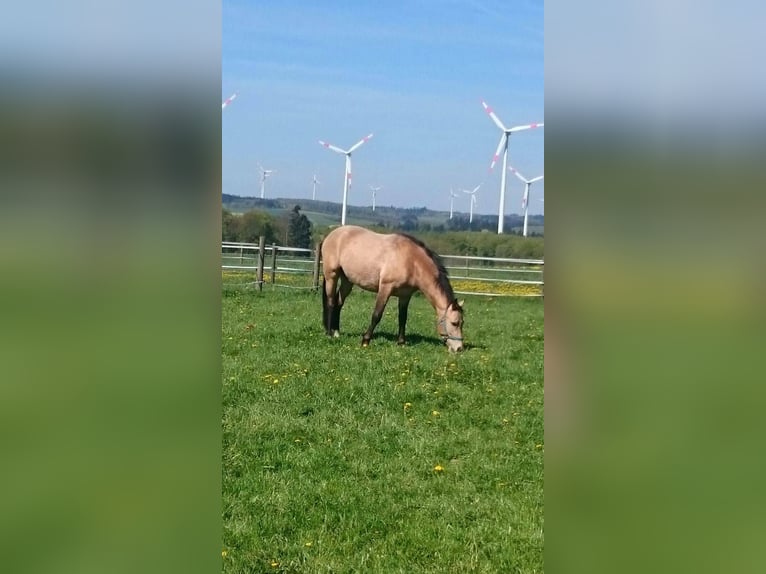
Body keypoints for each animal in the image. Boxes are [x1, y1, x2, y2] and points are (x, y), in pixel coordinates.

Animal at [321, 225, 465, 352]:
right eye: (454, 323)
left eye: (462, 323)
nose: (459, 348)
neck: (411, 261)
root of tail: (331, 234)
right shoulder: (385, 289)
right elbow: (376, 315)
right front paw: (365, 340)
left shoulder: (405, 295)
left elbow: (403, 318)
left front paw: (401, 342)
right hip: (331, 275)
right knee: (331, 302)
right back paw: (328, 333)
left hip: (347, 280)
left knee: (339, 303)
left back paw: (336, 332)